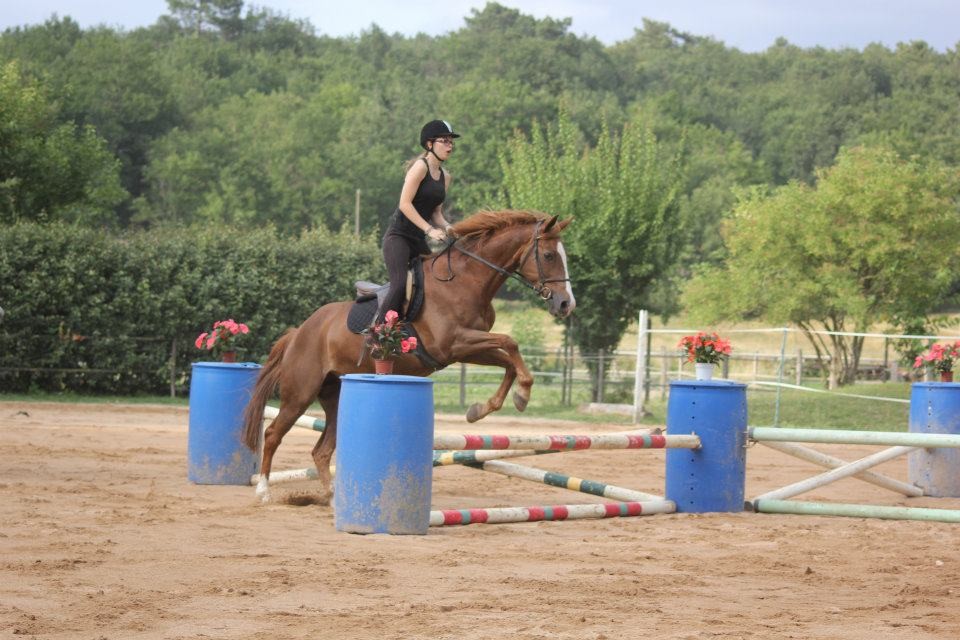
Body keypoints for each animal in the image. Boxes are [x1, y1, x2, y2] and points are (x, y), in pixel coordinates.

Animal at [244, 212, 572, 502]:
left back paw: (333, 496)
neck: (465, 281)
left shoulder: (466, 348)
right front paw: (522, 394)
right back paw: (263, 491)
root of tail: (299, 331)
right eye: (548, 256)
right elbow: (511, 343)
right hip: (300, 393)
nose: (566, 304)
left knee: (321, 450)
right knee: (272, 434)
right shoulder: (455, 343)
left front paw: (483, 408)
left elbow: (507, 360)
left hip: (334, 395)